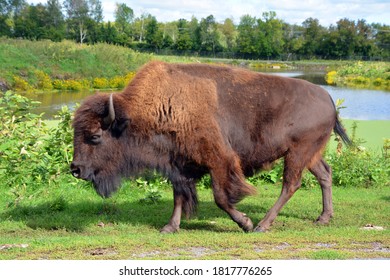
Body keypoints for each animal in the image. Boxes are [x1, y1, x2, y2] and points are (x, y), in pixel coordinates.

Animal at [70, 61, 350, 234]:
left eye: (95, 136)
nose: (75, 169)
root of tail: (328, 98)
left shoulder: (219, 160)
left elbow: (221, 197)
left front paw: (245, 223)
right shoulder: (178, 164)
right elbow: (179, 196)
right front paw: (169, 227)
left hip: (297, 153)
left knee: (291, 184)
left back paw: (263, 225)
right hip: (309, 154)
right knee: (325, 174)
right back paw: (323, 218)